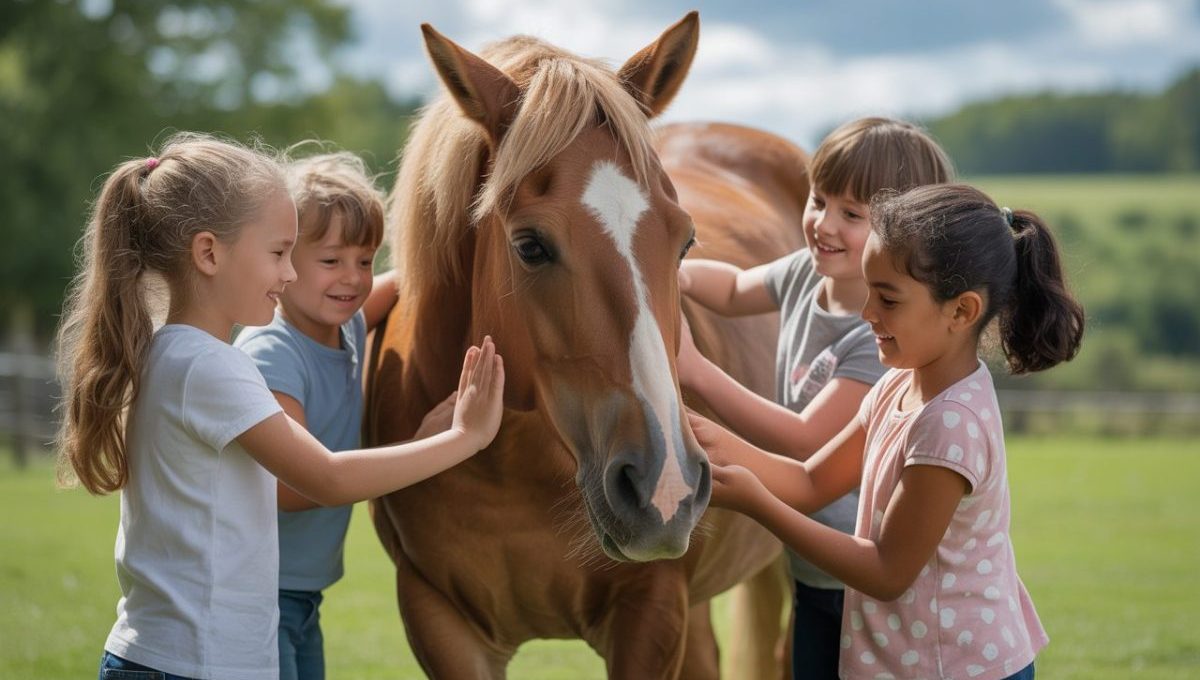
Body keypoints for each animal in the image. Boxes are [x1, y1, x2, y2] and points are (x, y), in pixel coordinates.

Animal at [365, 12, 809, 678]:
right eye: (530, 246)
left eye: (685, 241)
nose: (664, 485)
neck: (512, 471)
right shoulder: (438, 620)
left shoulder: (651, 614)